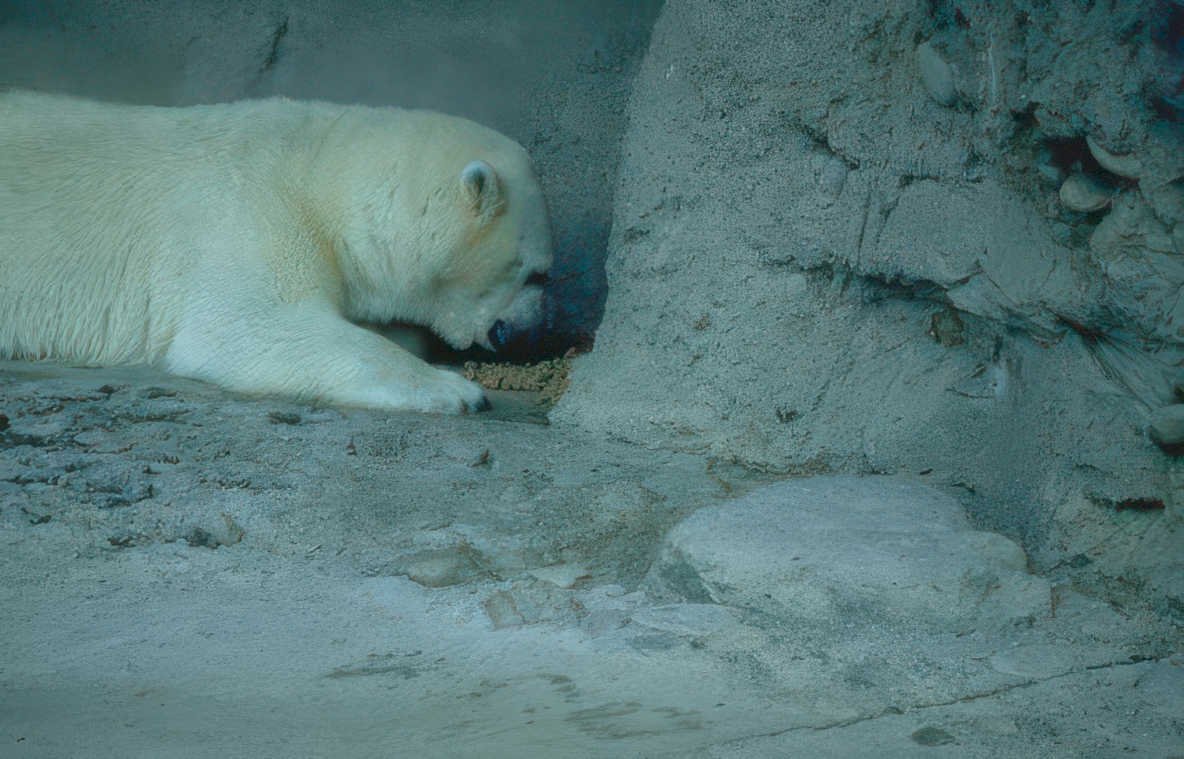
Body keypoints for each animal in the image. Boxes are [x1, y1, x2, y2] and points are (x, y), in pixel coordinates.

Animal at [0, 91, 552, 413]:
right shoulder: (243, 212)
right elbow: (249, 324)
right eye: (534, 272)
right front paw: (455, 390)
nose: (530, 334)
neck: (319, 174)